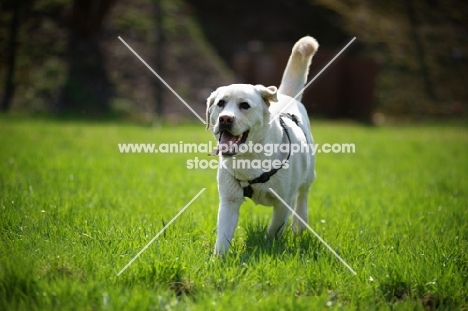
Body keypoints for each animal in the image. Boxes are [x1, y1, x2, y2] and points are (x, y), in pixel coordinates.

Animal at [207, 37, 320, 256]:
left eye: (244, 105)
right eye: (220, 103)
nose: (225, 119)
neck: (250, 158)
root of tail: (287, 97)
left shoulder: (284, 203)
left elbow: (273, 231)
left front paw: (267, 247)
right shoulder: (229, 200)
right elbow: (223, 237)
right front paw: (218, 259)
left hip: (309, 170)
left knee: (304, 192)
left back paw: (299, 222)